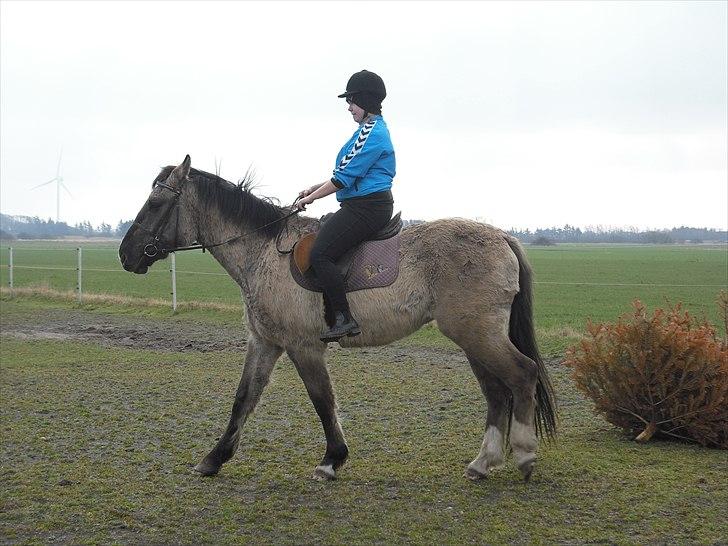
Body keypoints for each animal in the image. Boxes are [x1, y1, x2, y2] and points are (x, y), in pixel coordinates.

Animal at [119, 153, 556, 480]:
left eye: (155, 203)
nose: (126, 254)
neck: (263, 251)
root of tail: (502, 236)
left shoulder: (303, 346)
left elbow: (322, 399)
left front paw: (332, 460)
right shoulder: (265, 342)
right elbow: (244, 397)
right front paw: (214, 458)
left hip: (477, 334)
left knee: (522, 374)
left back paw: (523, 455)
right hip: (472, 337)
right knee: (497, 391)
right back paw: (483, 463)